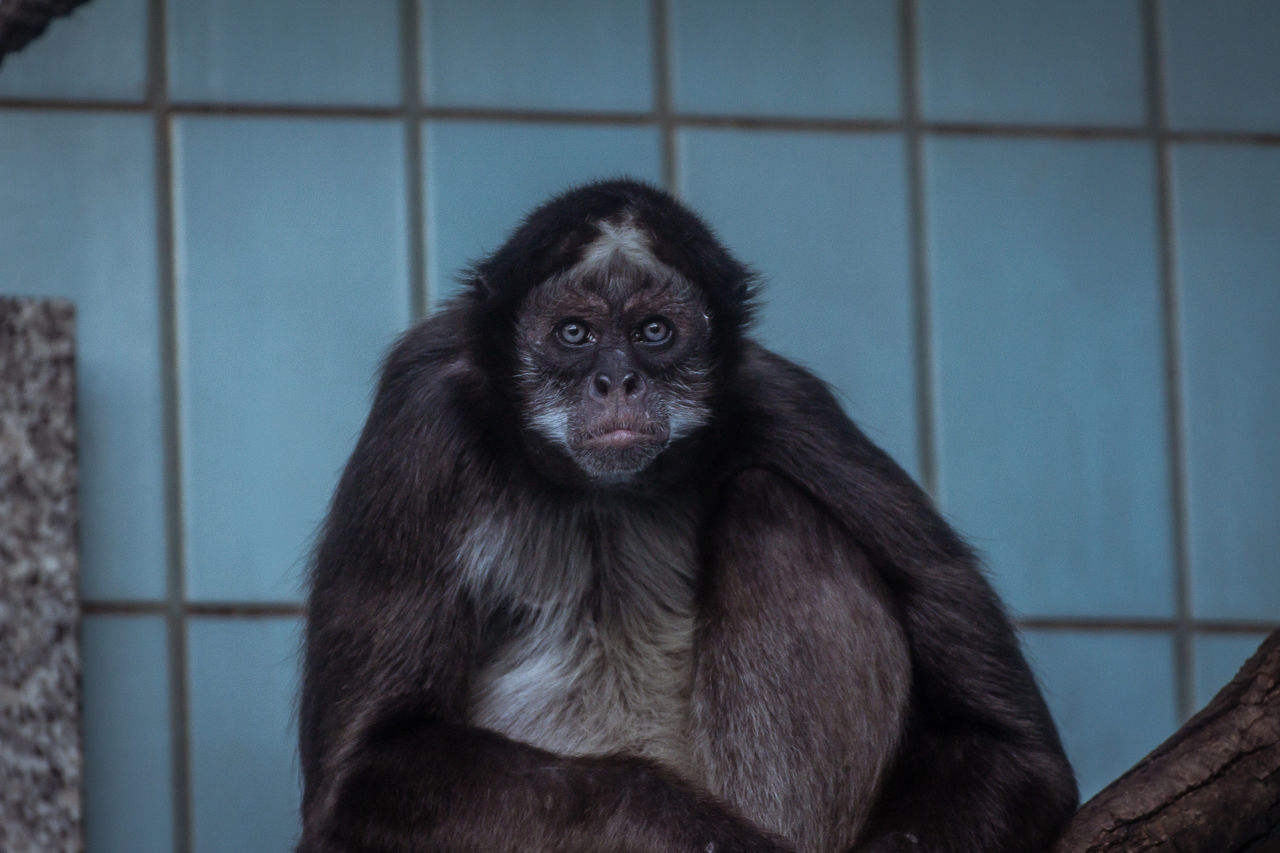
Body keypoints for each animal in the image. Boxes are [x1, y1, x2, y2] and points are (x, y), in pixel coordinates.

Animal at [294, 175, 1075, 845]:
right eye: (574, 334)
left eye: (654, 332)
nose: (617, 381)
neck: (601, 494)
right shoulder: (423, 416)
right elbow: (360, 772)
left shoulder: (780, 402)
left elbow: (1019, 752)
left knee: (769, 506)